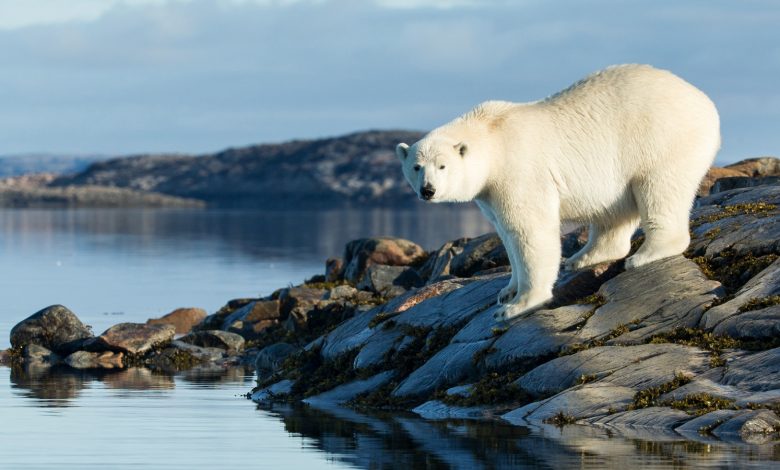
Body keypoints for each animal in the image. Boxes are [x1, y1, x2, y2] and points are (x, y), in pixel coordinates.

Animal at [400, 64, 724, 322]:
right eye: (416, 166)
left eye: (442, 165)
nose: (428, 190)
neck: (493, 136)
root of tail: (706, 102)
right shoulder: (489, 193)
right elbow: (507, 234)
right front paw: (507, 291)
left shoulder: (519, 172)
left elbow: (530, 231)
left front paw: (516, 306)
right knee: (613, 210)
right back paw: (583, 258)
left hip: (660, 138)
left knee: (659, 188)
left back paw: (645, 255)